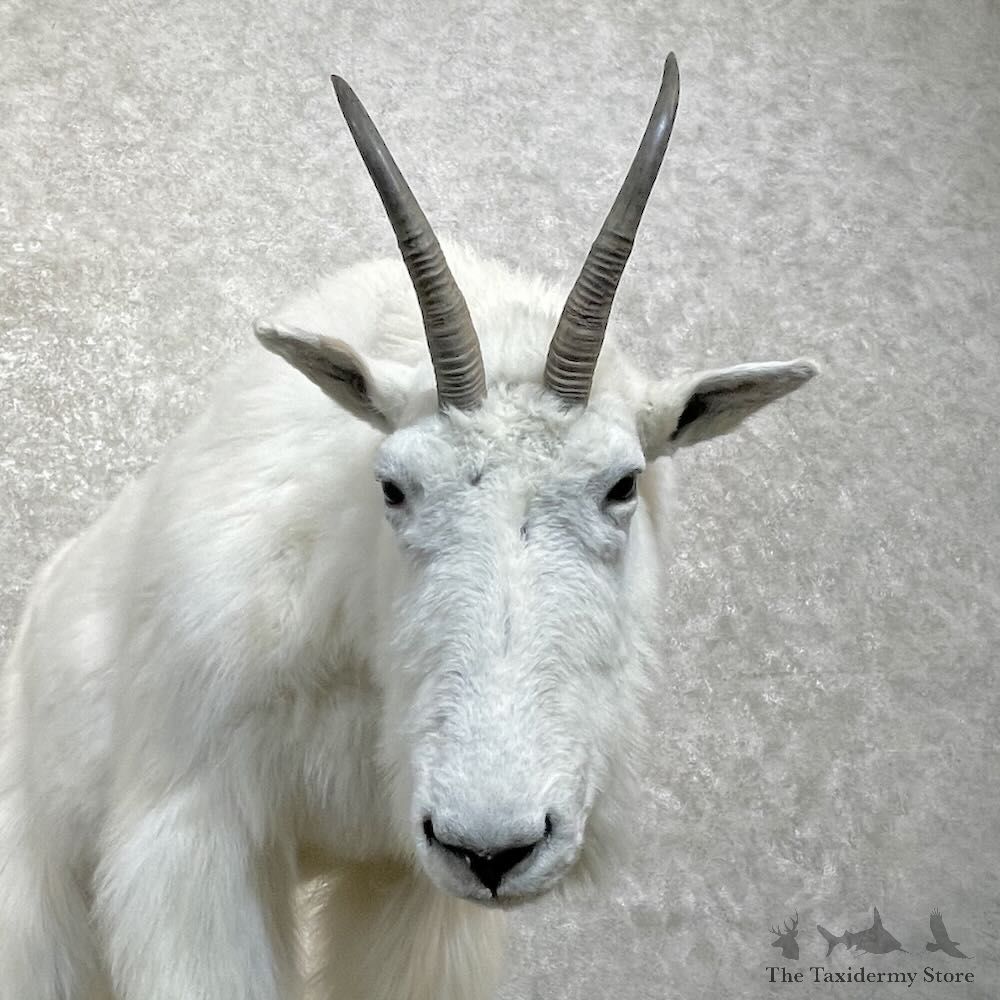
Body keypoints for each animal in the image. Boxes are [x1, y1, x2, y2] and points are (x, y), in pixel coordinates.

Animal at [0, 53, 816, 1000]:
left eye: (623, 484)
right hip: (41, 867)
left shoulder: (415, 893)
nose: (493, 848)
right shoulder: (195, 844)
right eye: (393, 487)